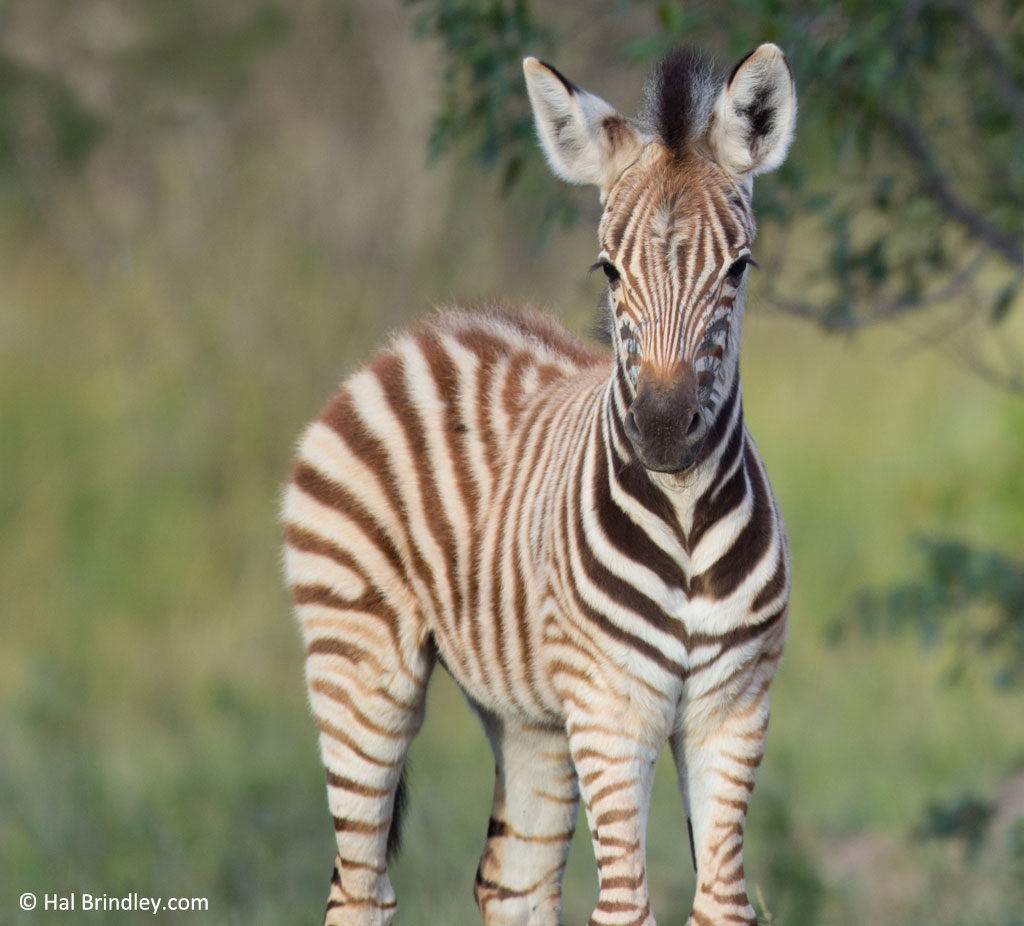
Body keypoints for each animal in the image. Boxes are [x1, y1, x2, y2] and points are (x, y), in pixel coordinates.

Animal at [284, 43, 794, 926]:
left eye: (739, 269)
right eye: (609, 269)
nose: (663, 429)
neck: (686, 521)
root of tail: (425, 331)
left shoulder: (733, 711)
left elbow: (722, 901)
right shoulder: (611, 712)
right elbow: (625, 906)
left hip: (529, 714)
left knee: (512, 879)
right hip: (360, 662)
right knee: (359, 885)